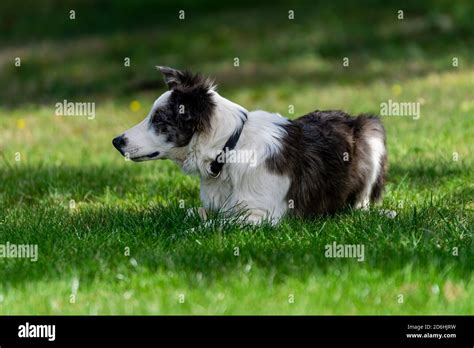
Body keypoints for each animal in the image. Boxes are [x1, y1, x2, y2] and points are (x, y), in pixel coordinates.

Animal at [113, 66, 386, 224]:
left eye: (158, 120)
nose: (116, 141)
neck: (228, 150)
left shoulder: (264, 215)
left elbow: (217, 224)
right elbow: (196, 213)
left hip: (372, 131)